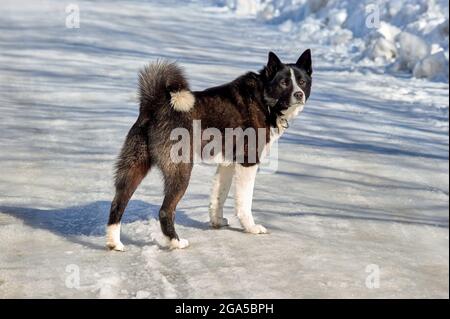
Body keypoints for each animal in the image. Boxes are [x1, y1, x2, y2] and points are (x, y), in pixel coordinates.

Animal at [107, 50, 312, 251]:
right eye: (284, 82)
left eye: (302, 81)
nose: (299, 94)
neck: (263, 98)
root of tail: (155, 105)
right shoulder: (248, 162)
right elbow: (244, 202)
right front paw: (251, 227)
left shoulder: (227, 163)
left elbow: (218, 197)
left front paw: (217, 221)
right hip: (181, 171)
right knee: (165, 210)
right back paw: (175, 242)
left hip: (134, 168)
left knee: (118, 203)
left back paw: (114, 242)